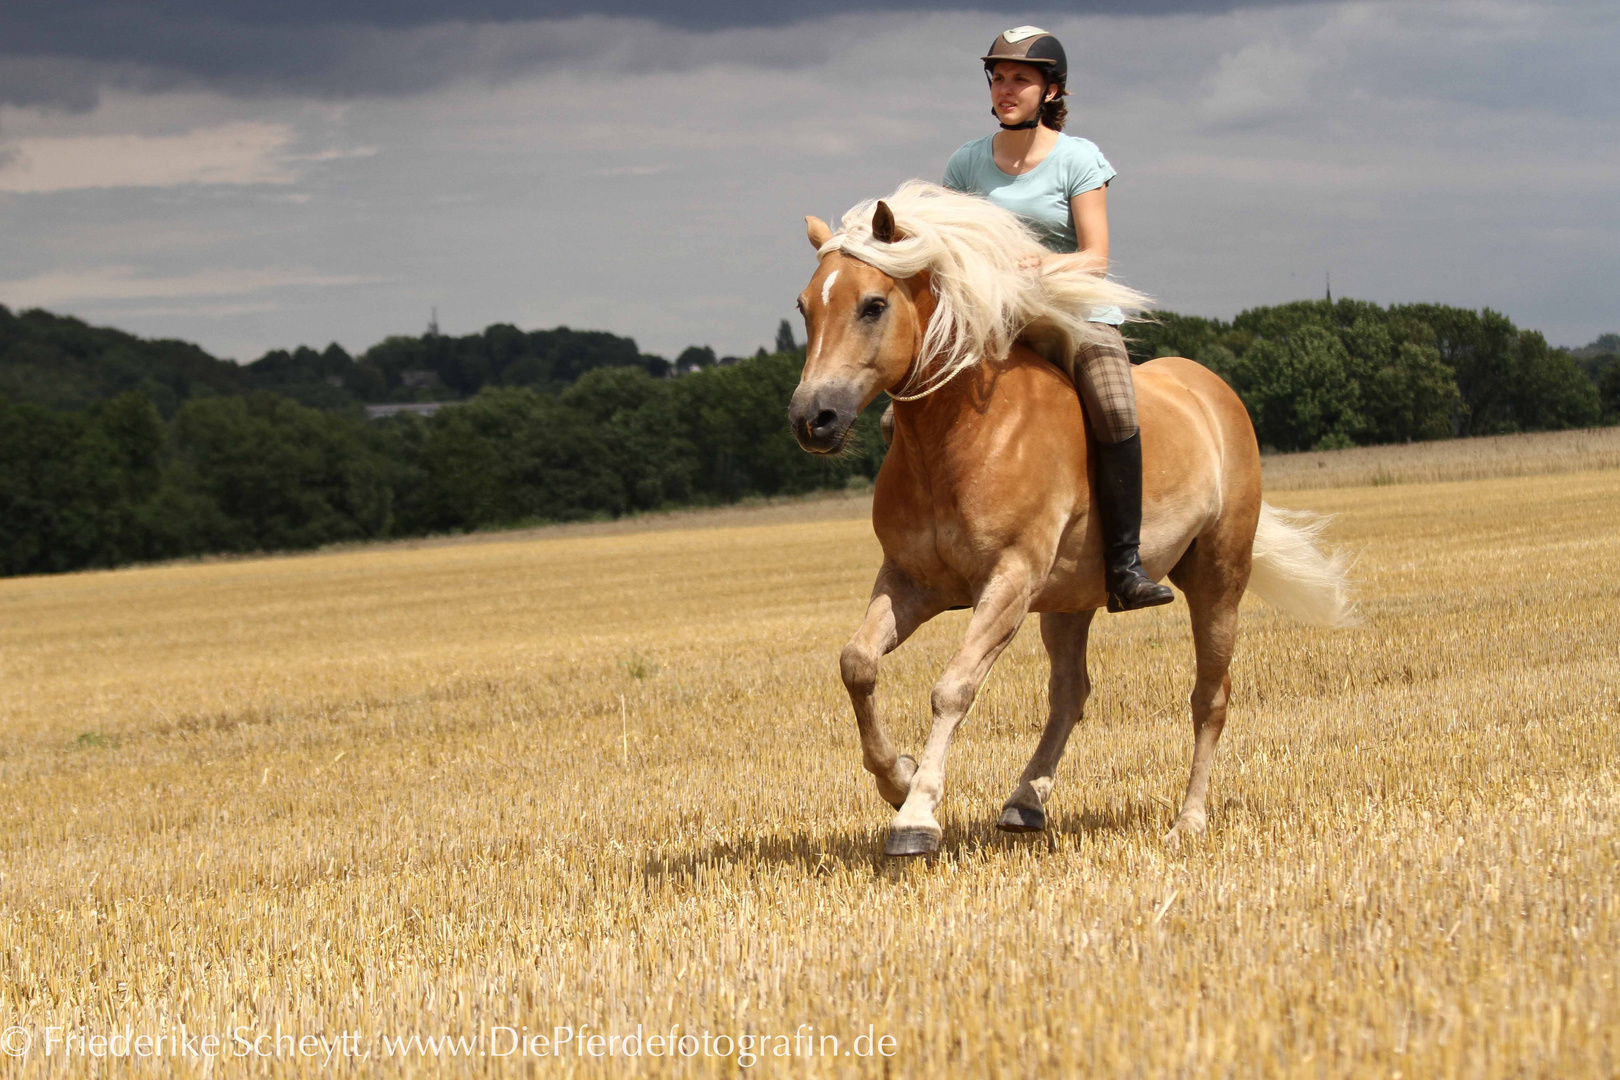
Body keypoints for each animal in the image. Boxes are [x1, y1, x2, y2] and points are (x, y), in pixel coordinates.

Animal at [787, 183, 1354, 861]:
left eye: (873, 305)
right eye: (804, 308)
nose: (811, 419)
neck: (957, 436)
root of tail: (1213, 391)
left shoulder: (1008, 582)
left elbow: (953, 687)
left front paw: (916, 816)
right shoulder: (911, 581)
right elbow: (858, 663)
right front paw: (896, 779)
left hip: (1218, 577)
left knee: (1209, 696)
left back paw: (1187, 821)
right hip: (1070, 598)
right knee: (1071, 693)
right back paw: (1025, 802)